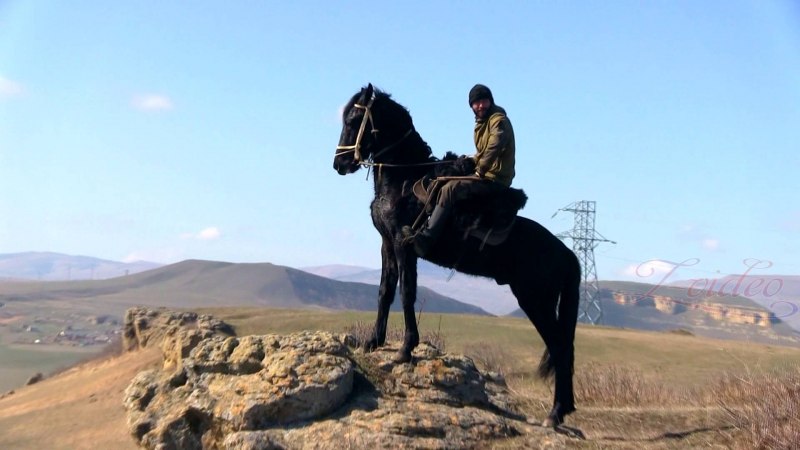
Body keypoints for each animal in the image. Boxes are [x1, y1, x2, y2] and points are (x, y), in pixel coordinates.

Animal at [332, 84, 582, 427]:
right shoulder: (386, 244)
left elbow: (406, 293)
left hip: (536, 300)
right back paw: (561, 410)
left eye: (354, 119)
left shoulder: (403, 246)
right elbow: (384, 291)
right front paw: (374, 341)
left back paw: (555, 413)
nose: (340, 164)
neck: (403, 181)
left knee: (559, 347)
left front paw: (405, 349)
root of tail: (568, 255)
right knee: (562, 349)